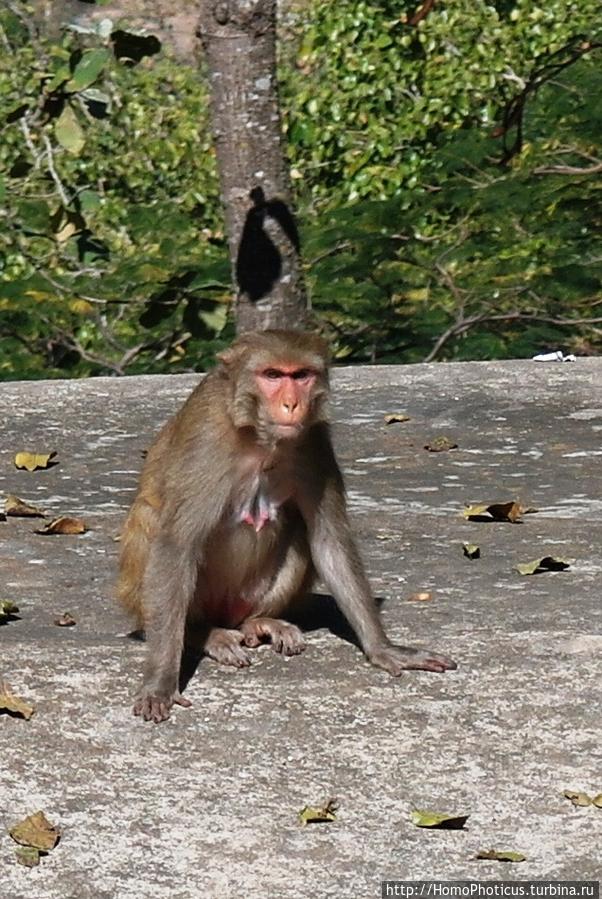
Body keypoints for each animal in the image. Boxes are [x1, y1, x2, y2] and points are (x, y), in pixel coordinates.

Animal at [118, 330, 454, 724]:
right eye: (273, 375)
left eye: (301, 375)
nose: (292, 404)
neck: (259, 437)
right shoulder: (205, 440)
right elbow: (176, 545)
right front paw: (160, 682)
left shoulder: (314, 443)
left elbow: (329, 540)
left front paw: (384, 649)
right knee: (153, 525)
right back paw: (204, 634)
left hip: (246, 598)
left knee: (298, 532)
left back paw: (261, 623)